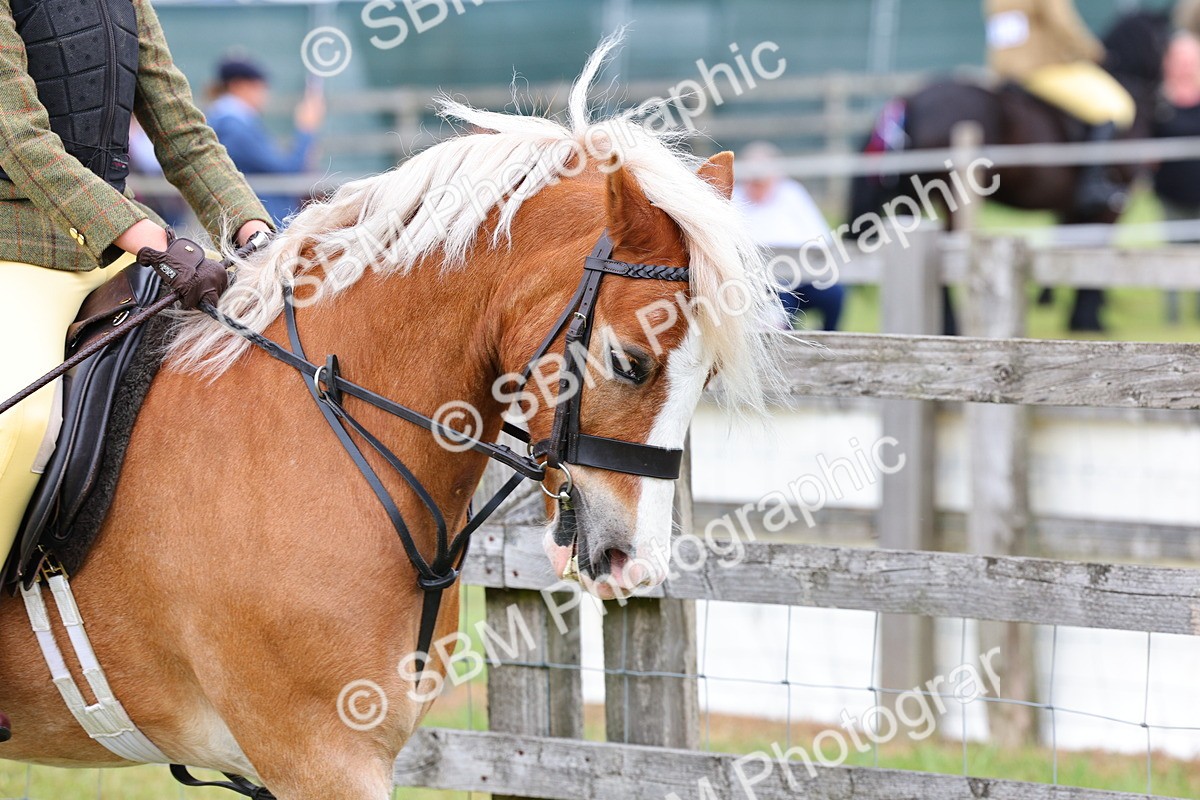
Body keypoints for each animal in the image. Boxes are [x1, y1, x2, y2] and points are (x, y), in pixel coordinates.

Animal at [849, 10, 1173, 332]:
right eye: (1168, 39)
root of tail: (909, 102)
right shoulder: (1113, 204)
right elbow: (1096, 251)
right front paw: (1087, 320)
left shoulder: (1073, 206)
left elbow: (1071, 245)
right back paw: (951, 326)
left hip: (912, 199)